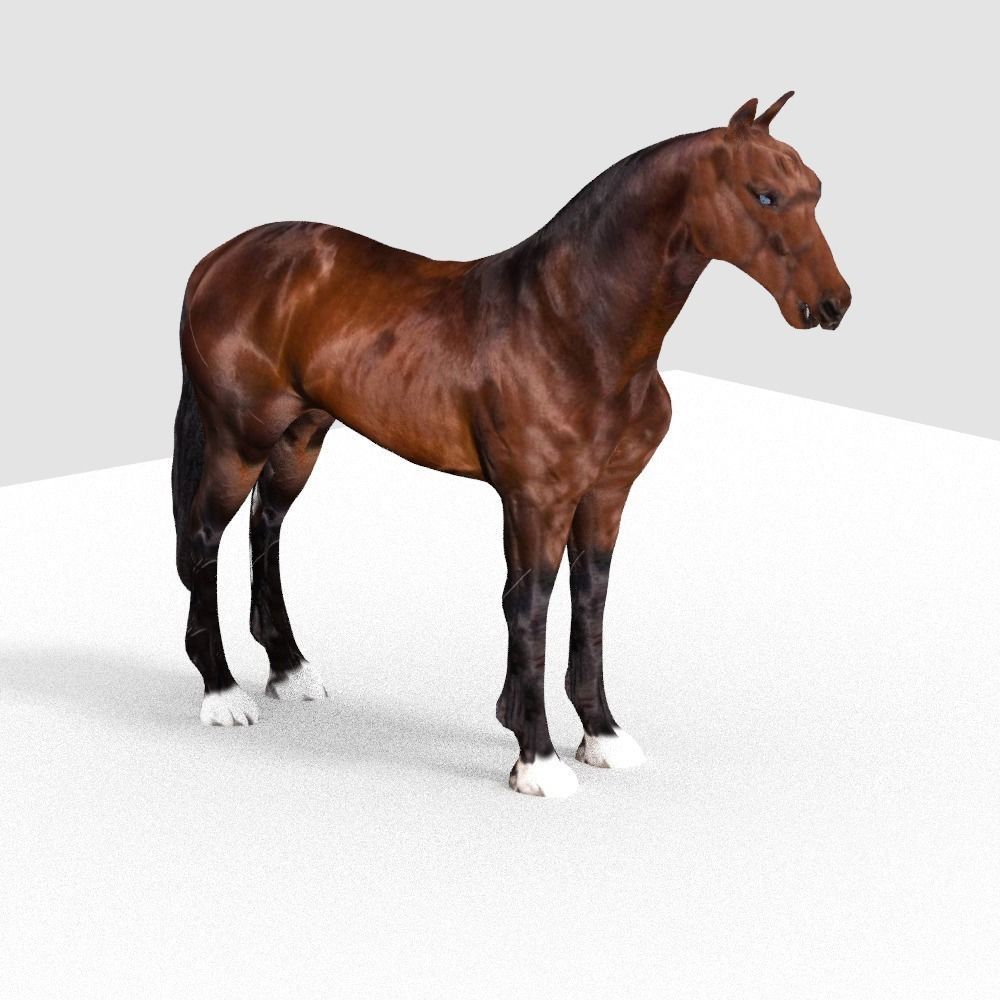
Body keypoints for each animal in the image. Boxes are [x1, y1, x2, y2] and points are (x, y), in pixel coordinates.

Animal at [171, 92, 851, 797]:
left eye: (815, 190)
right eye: (764, 195)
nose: (832, 304)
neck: (572, 327)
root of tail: (217, 261)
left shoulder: (604, 494)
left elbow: (590, 599)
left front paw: (602, 735)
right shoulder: (535, 499)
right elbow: (529, 606)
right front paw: (537, 757)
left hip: (300, 435)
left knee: (266, 523)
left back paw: (290, 669)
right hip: (238, 439)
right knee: (204, 537)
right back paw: (222, 693)